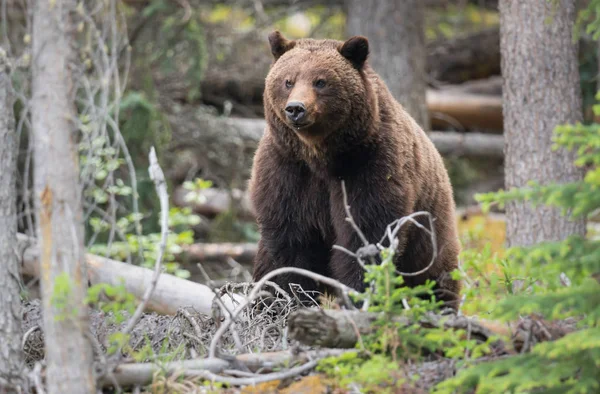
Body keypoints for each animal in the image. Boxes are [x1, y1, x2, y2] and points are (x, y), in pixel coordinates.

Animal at [246, 30, 462, 310]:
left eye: (321, 81)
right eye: (288, 81)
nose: (296, 108)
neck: (320, 156)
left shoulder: (370, 166)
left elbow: (366, 235)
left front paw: (360, 295)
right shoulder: (286, 170)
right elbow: (290, 241)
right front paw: (290, 296)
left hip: (430, 233)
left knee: (434, 279)